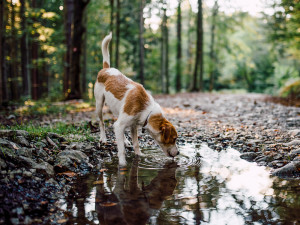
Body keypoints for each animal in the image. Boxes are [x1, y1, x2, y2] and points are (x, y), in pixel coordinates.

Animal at [94, 32, 178, 166]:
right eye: (174, 138)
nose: (179, 153)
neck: (147, 109)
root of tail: (106, 69)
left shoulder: (133, 126)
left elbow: (136, 144)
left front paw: (139, 156)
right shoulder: (125, 123)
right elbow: (121, 150)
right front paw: (123, 164)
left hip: (118, 111)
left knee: (115, 124)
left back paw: (124, 140)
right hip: (99, 103)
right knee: (102, 123)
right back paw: (103, 138)